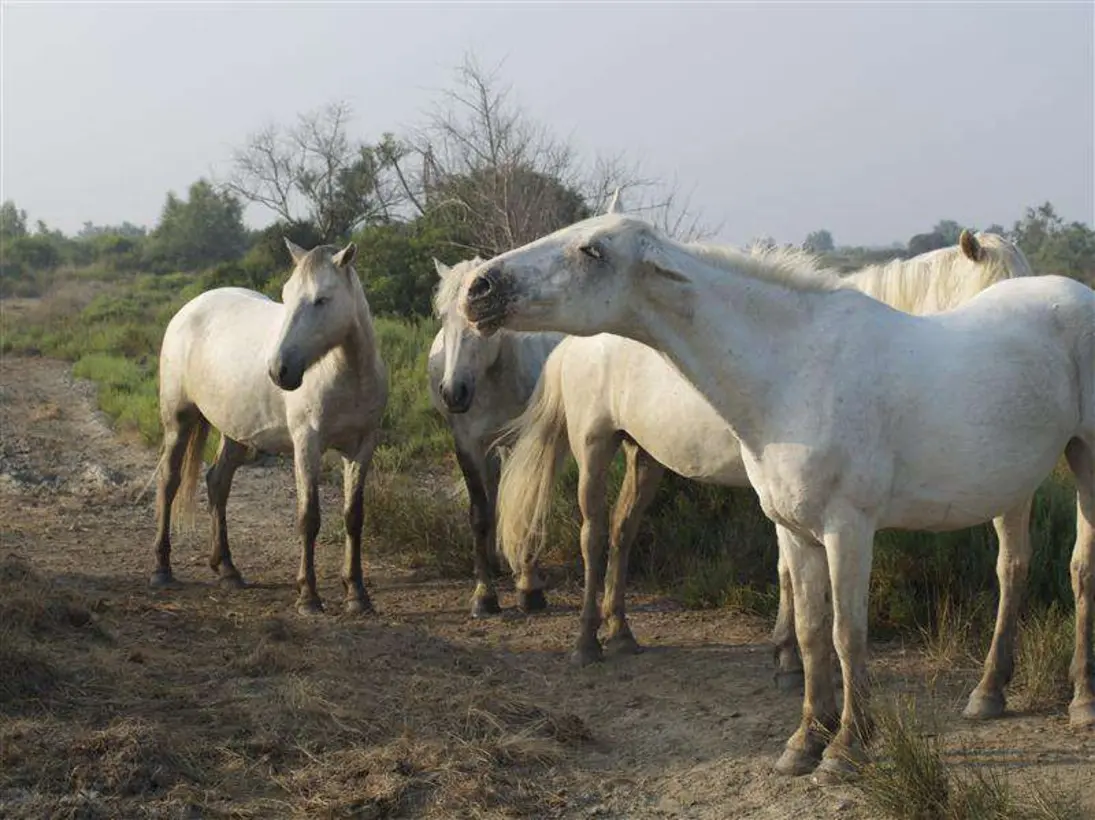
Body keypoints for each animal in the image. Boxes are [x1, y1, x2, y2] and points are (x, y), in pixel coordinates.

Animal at [150, 239, 389, 615]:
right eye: (286, 294)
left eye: (322, 299)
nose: (280, 370)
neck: (348, 375)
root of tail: (189, 308)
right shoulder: (307, 446)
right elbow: (309, 518)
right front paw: (308, 596)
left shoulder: (362, 447)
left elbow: (354, 517)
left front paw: (357, 593)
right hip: (178, 420)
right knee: (169, 481)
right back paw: (162, 568)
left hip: (234, 432)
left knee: (217, 482)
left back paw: (228, 569)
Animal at [428, 257, 565, 617]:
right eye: (443, 315)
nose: (453, 392)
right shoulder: (467, 445)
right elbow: (479, 514)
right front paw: (484, 596)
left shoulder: (524, 440)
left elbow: (523, 501)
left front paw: (530, 590)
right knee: (493, 494)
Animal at [495, 226, 1036, 673]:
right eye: (998, 288)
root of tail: (570, 345)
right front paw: (789, 655)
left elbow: (786, 571)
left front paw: (786, 650)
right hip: (595, 444)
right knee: (593, 534)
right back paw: (587, 642)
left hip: (643, 455)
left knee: (623, 531)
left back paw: (621, 631)